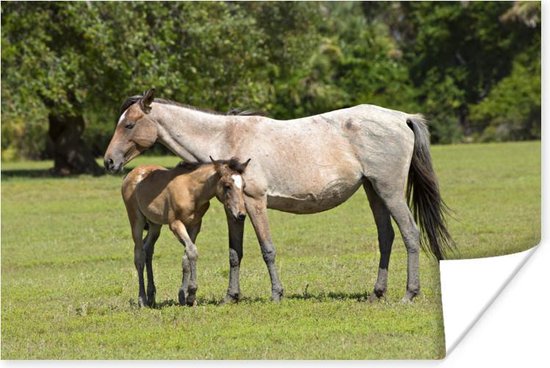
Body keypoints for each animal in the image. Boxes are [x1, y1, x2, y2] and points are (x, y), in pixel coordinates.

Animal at [105, 87, 454, 304]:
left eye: (130, 124)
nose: (109, 161)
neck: (227, 136)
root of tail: (402, 118)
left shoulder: (255, 202)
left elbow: (267, 249)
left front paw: (276, 294)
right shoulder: (234, 209)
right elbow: (235, 253)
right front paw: (231, 297)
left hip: (389, 190)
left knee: (410, 234)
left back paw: (409, 293)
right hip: (374, 191)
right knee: (386, 237)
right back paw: (377, 293)